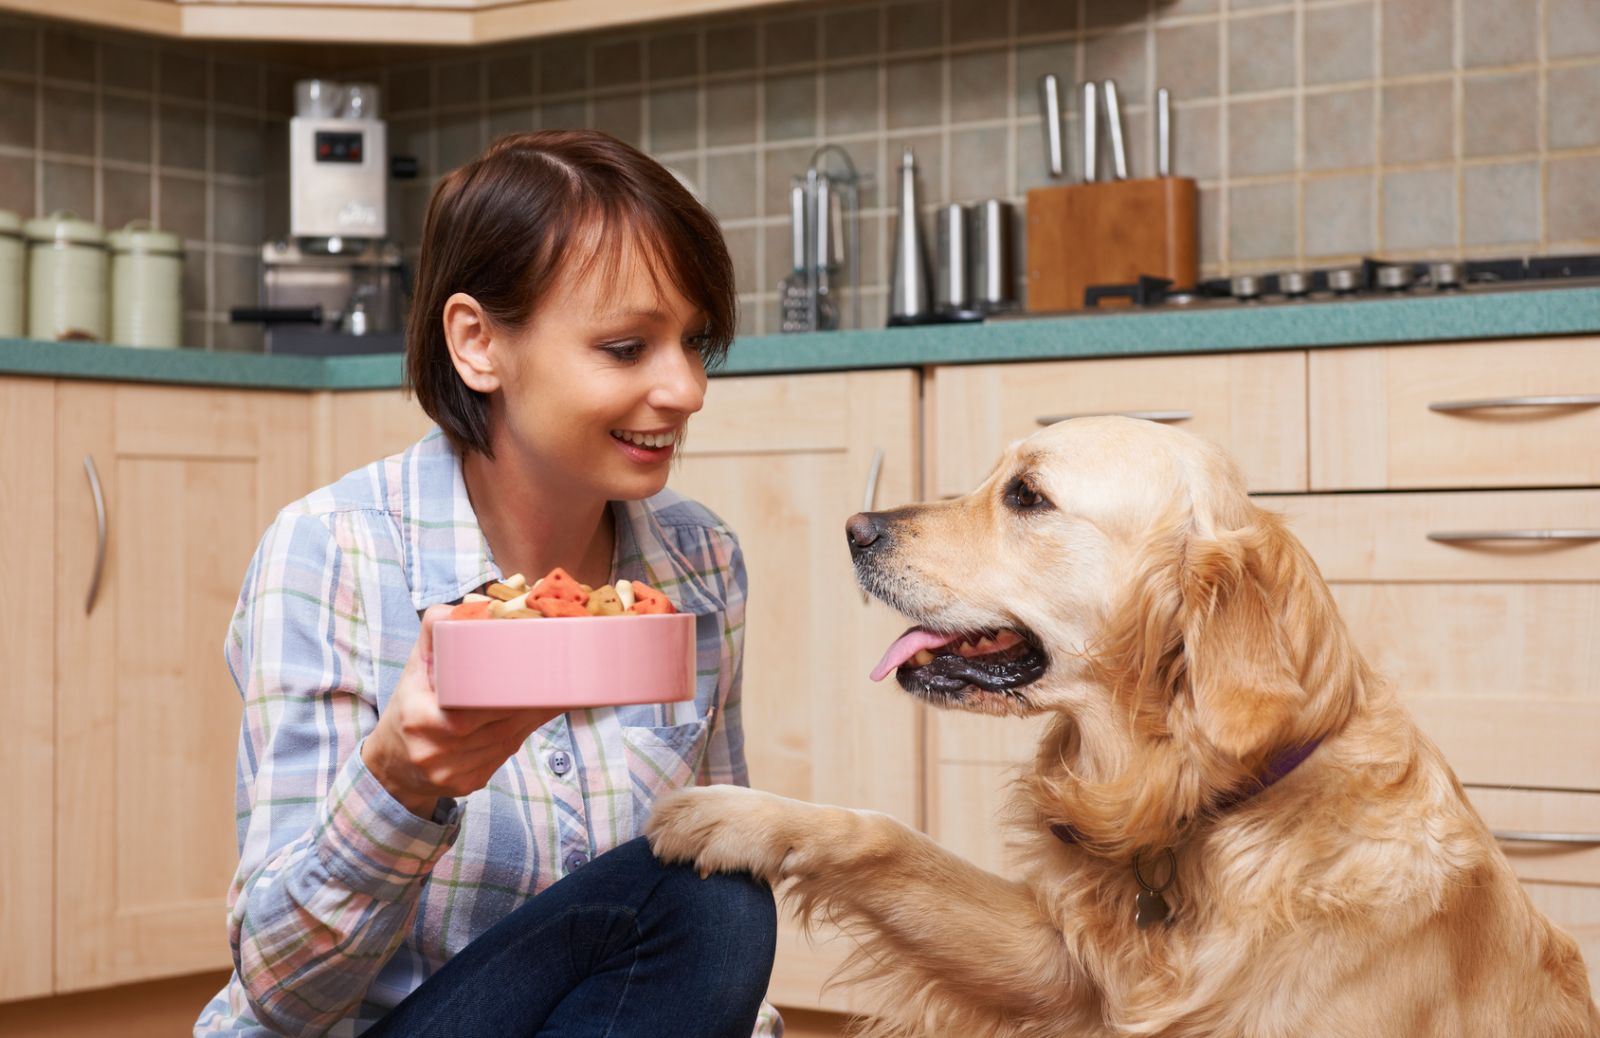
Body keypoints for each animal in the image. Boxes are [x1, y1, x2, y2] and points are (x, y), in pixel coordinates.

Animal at [649, 415, 1600, 1036]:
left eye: (1026, 495)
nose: (855, 527)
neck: (1205, 803)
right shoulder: (1055, 969)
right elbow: (888, 835)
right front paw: (734, 813)